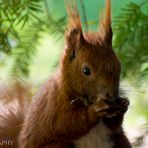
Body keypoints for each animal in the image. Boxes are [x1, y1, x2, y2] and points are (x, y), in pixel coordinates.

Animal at [0, 0, 131, 147]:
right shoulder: (53, 105)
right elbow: (64, 124)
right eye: (86, 70)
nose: (112, 94)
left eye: (119, 65)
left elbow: (113, 126)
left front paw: (123, 104)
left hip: (120, 141)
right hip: (57, 145)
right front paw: (94, 112)